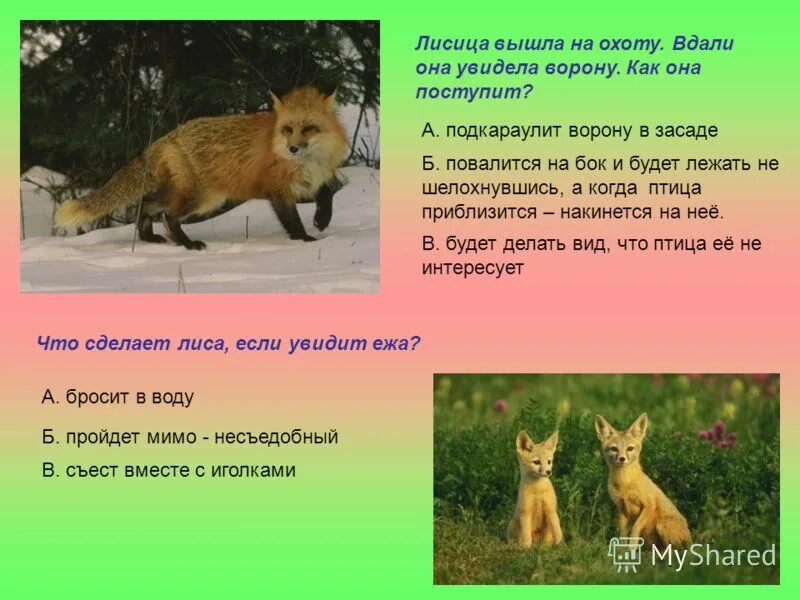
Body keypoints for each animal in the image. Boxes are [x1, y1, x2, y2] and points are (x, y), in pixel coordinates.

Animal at [55, 86, 348, 249]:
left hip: (196, 195)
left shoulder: (315, 179)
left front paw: (322, 219)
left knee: (147, 204)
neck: (308, 162)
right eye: (288, 129)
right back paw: (187, 244)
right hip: (200, 199)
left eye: (308, 128)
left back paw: (150, 239)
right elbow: (293, 221)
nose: (293, 149)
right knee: (168, 216)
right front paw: (304, 240)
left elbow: (329, 191)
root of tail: (169, 135)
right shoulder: (277, 190)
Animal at [595, 413, 691, 549]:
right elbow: (622, 535)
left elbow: (635, 528)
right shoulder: (622, 509)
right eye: (614, 449)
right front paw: (622, 551)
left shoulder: (649, 505)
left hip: (661, 527)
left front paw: (632, 547)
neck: (625, 483)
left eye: (630, 448)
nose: (622, 459)